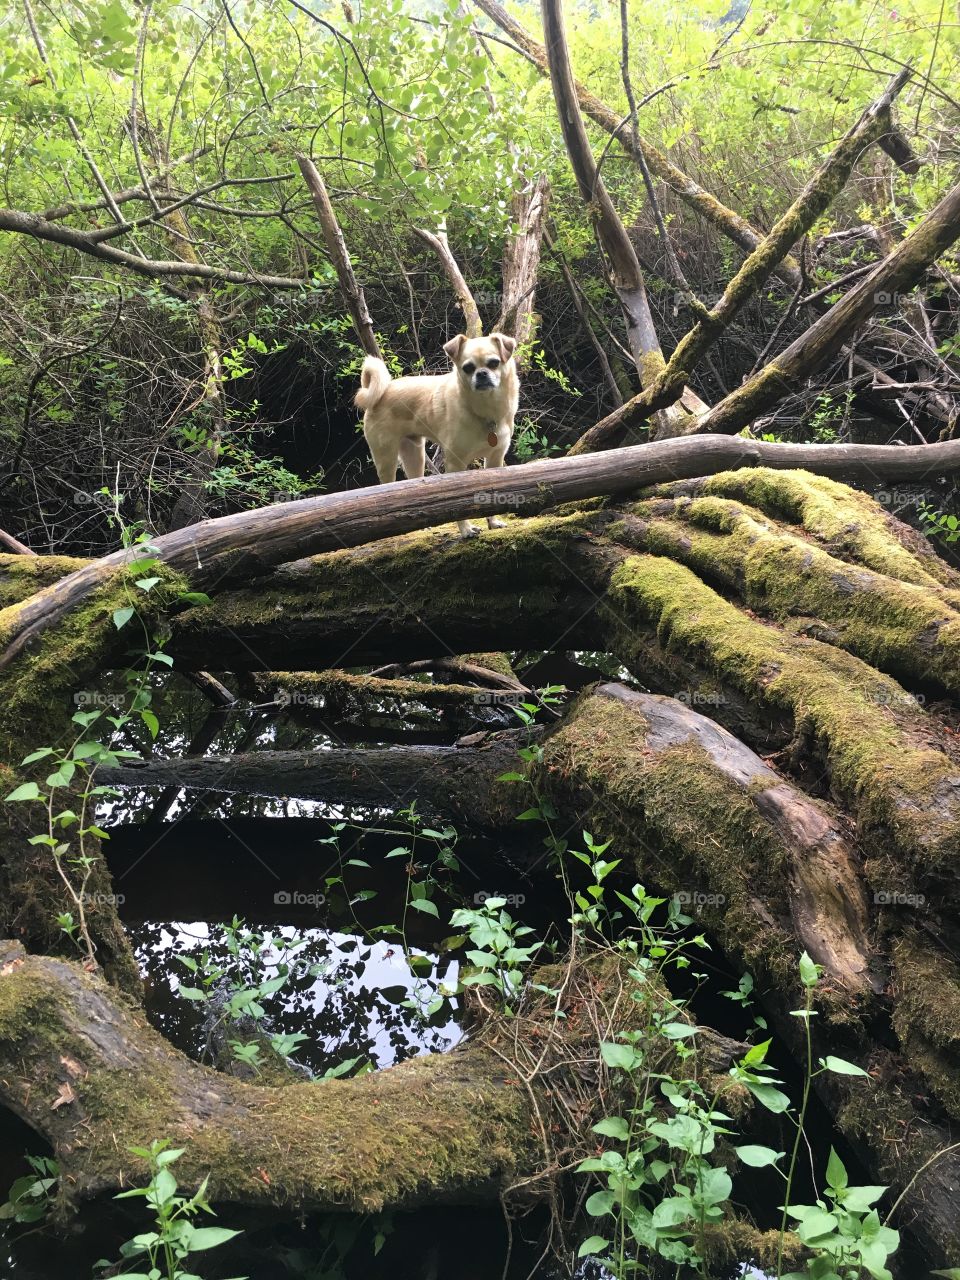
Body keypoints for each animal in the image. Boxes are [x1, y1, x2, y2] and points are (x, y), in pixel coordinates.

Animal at [353, 335, 519, 535]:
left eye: (494, 363)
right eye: (468, 368)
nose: (481, 374)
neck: (486, 409)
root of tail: (383, 391)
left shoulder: (495, 460)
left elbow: (492, 493)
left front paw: (493, 522)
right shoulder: (455, 463)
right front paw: (466, 530)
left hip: (414, 457)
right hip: (386, 459)